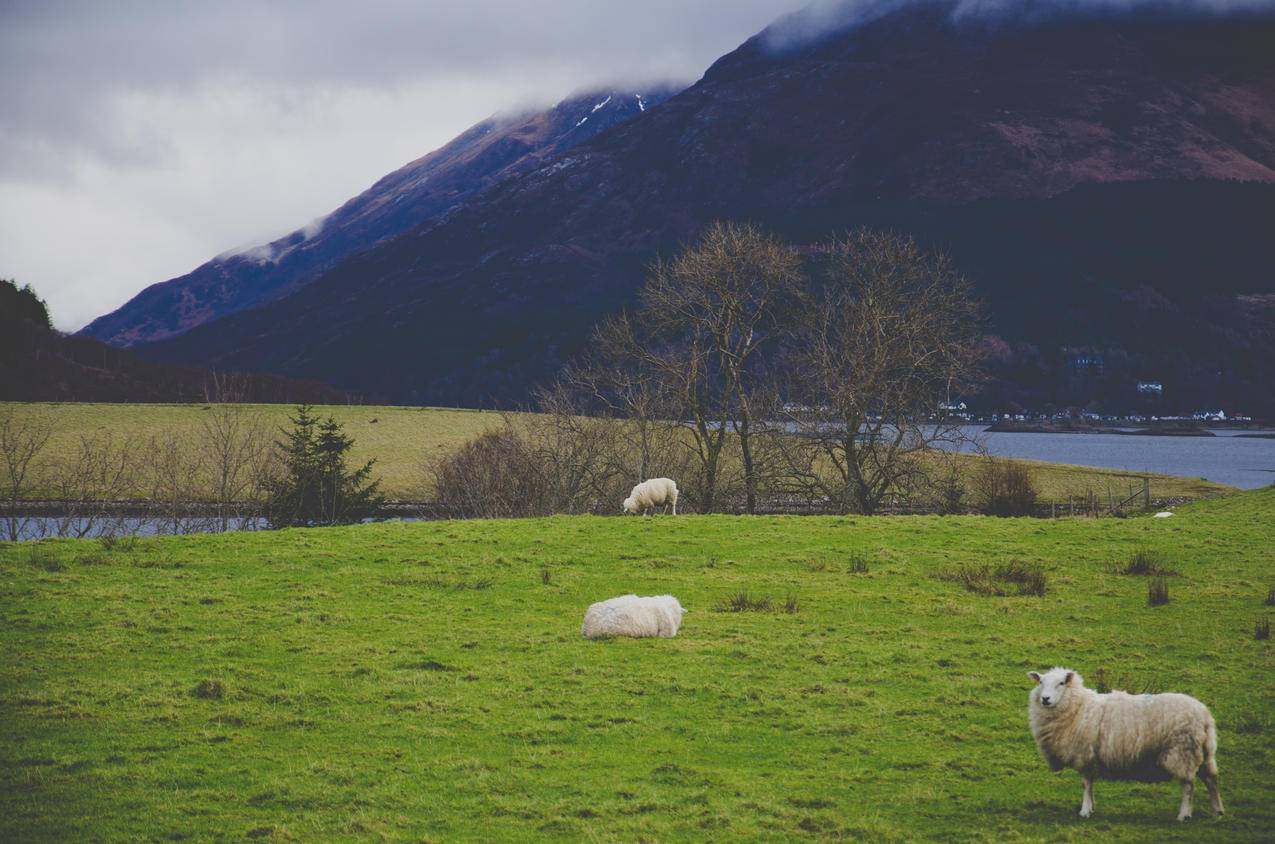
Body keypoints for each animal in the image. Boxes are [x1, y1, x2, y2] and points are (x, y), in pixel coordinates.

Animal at [1025, 668, 1224, 821]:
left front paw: (1085, 810)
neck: (1078, 706)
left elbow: (1086, 784)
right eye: (1040, 682)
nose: (1045, 699)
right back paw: (1217, 811)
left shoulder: (1085, 755)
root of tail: (1205, 715)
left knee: (1188, 785)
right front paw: (1092, 807)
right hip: (1204, 752)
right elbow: (1091, 784)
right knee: (1210, 779)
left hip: (1182, 751)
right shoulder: (1092, 757)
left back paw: (1184, 815)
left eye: (1061, 683)